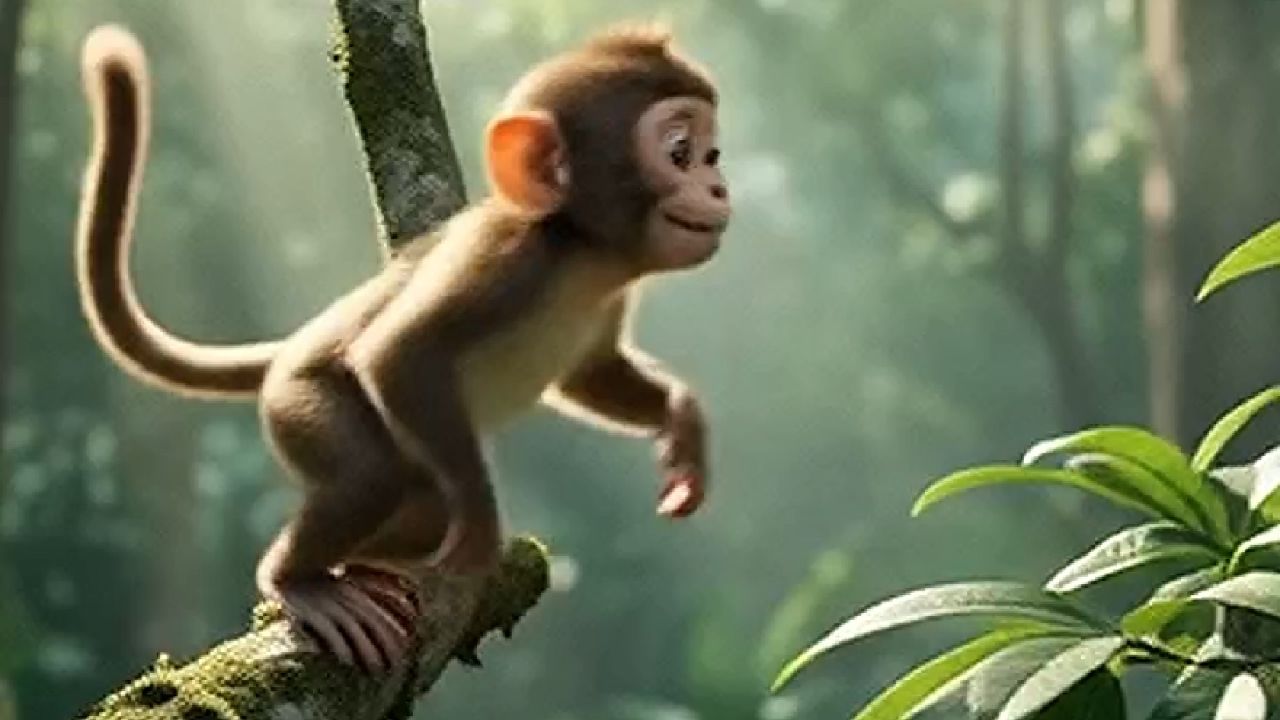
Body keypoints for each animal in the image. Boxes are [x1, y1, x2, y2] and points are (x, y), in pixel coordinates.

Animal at [75, 22, 730, 672]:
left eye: (711, 153)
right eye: (679, 152)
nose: (718, 185)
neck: (581, 252)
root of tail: (289, 351)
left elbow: (588, 374)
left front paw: (683, 427)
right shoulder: (506, 259)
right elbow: (398, 352)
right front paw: (480, 523)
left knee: (422, 508)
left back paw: (363, 566)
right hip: (300, 401)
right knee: (371, 475)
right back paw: (298, 580)